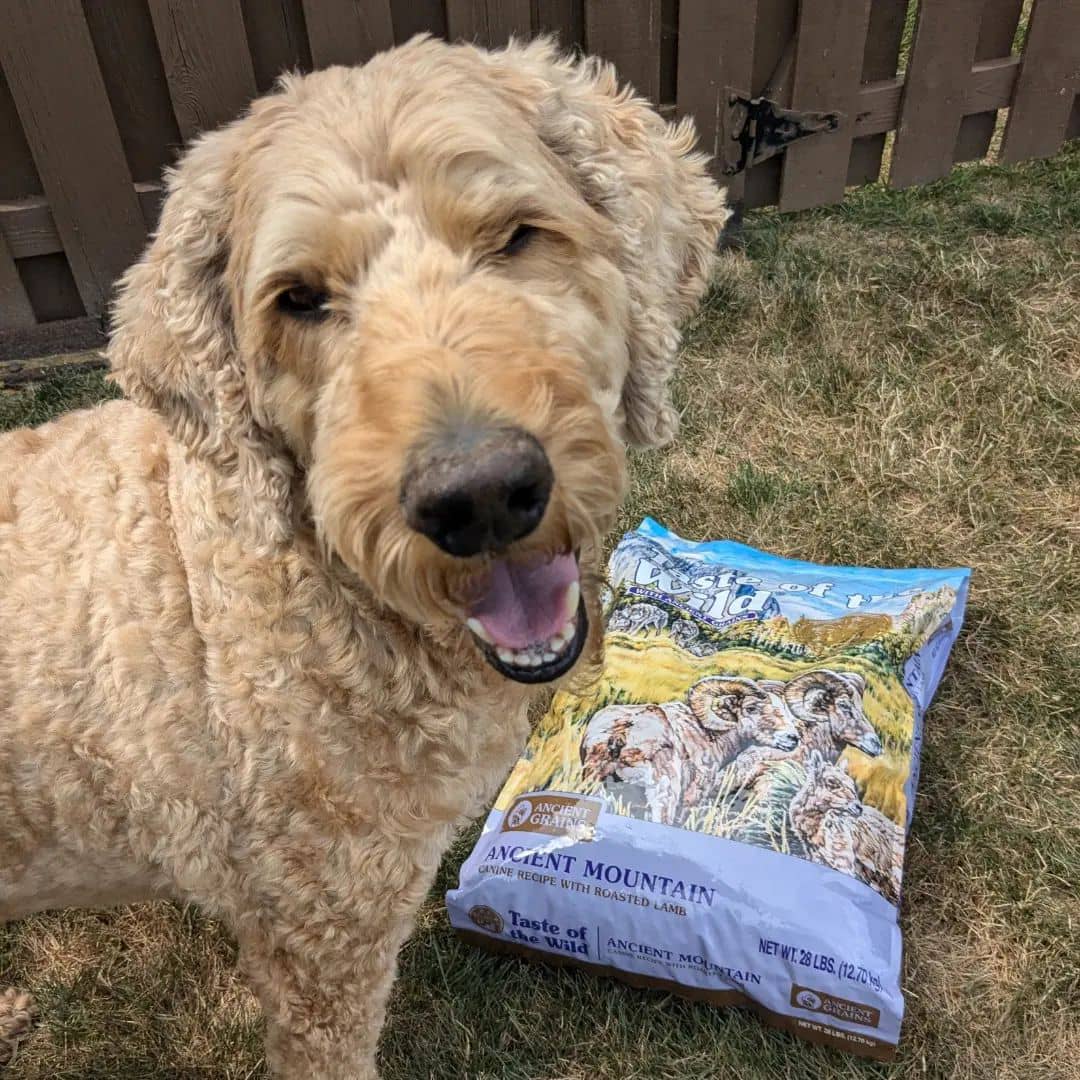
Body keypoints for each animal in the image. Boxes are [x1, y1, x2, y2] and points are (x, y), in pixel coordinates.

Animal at [580, 676, 800, 826]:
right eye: (751, 708)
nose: (793, 738)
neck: (709, 735)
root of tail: (621, 733)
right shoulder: (689, 800)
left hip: (594, 785)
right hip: (663, 798)